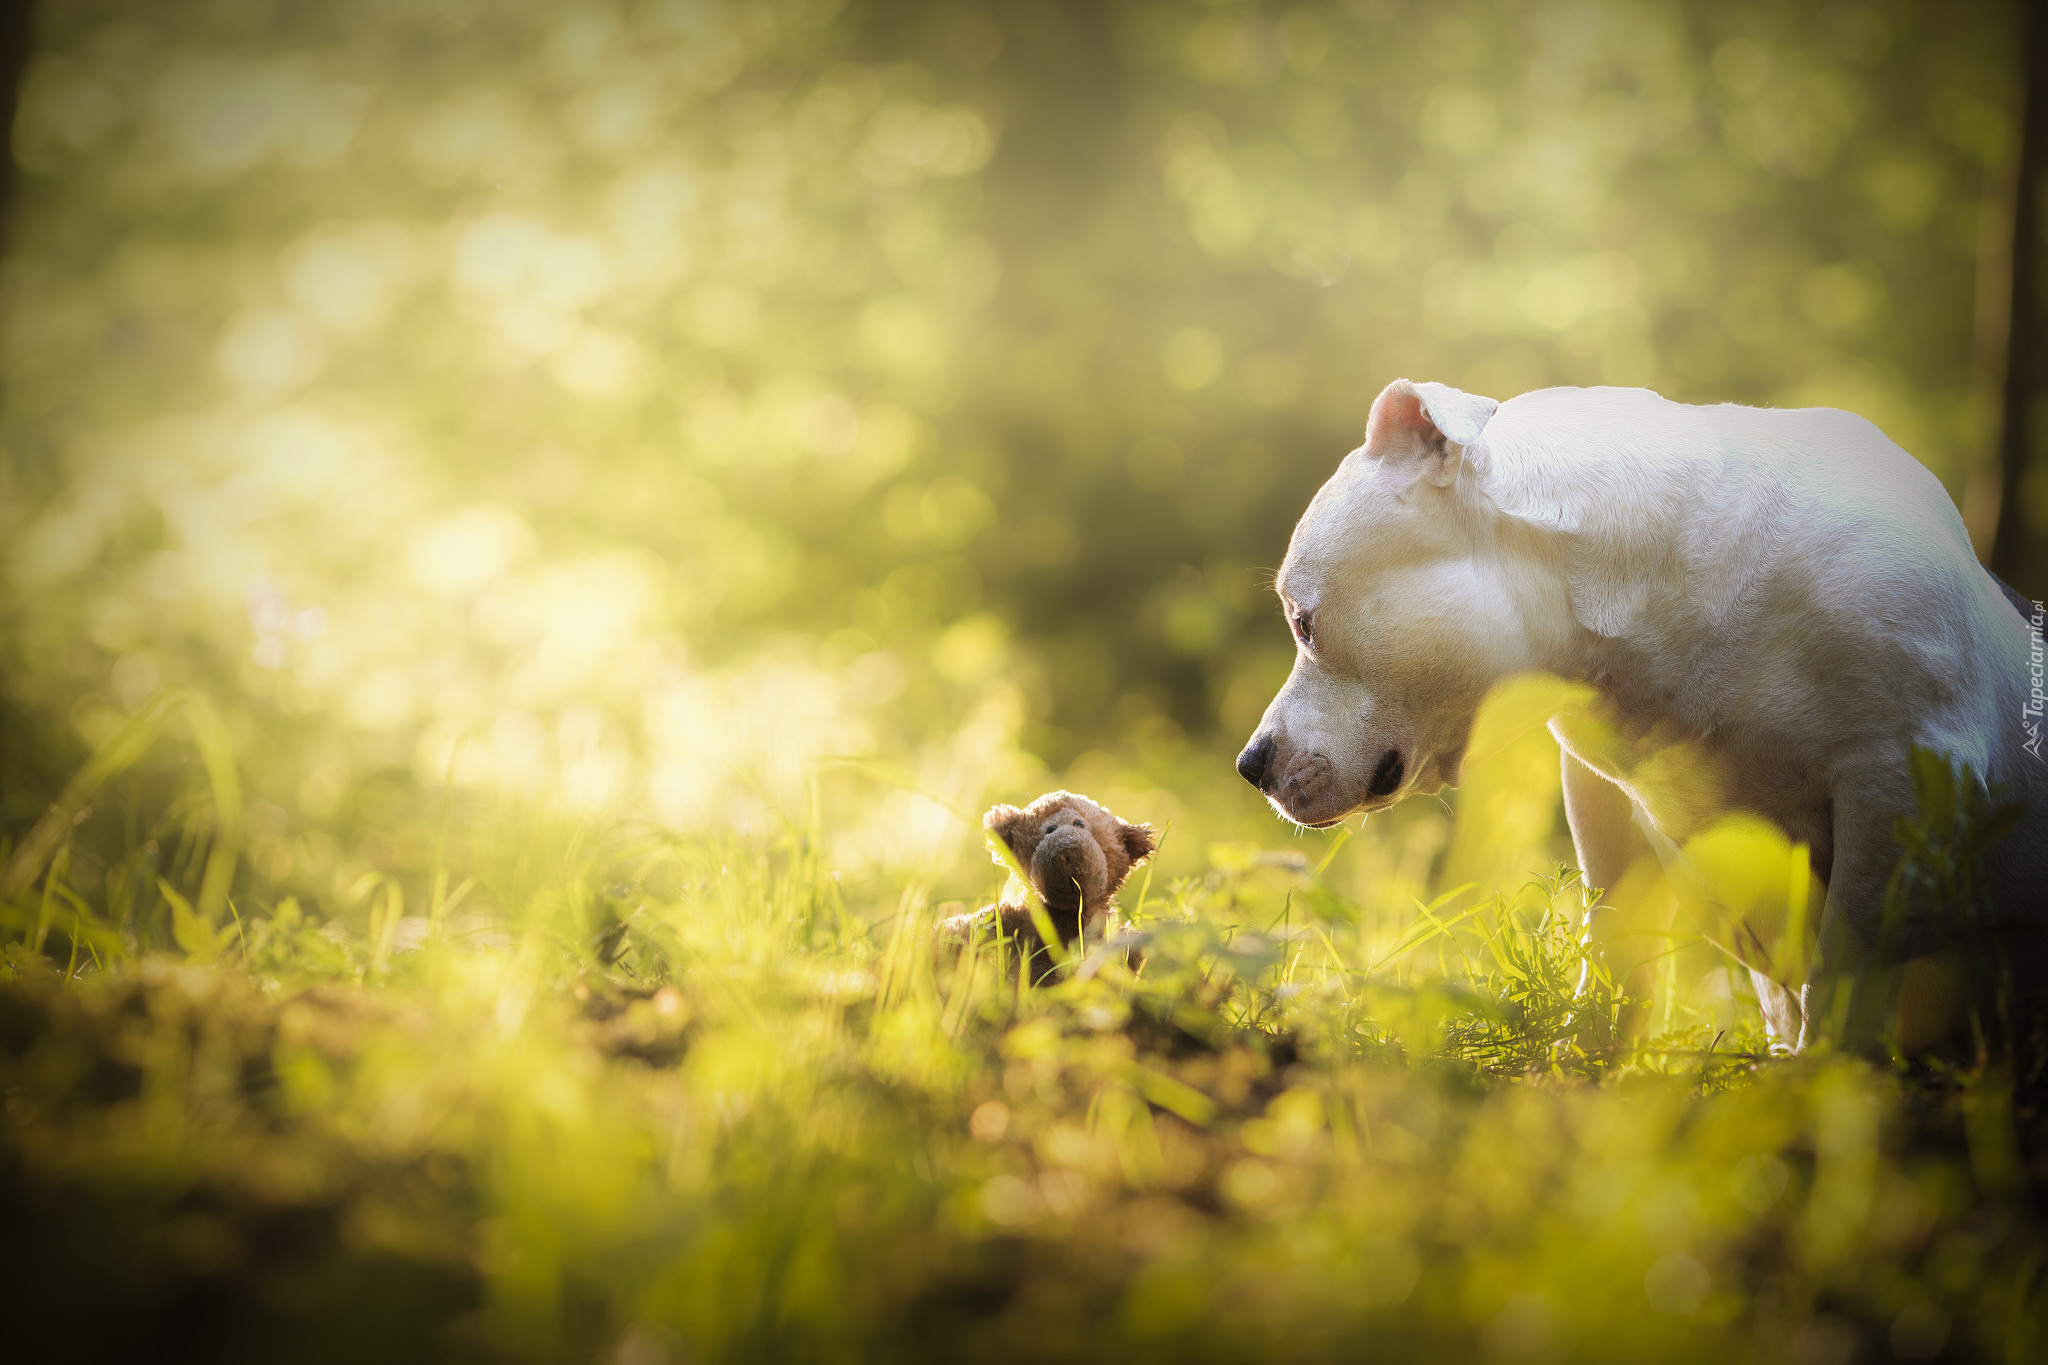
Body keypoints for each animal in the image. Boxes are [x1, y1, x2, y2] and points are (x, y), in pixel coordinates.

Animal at [1228, 378, 2048, 1055]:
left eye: (1303, 622)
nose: (1251, 764)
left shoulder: (1896, 781)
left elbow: (1846, 965)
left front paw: (1824, 1080)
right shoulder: (1601, 786)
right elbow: (1617, 938)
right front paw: (1584, 1061)